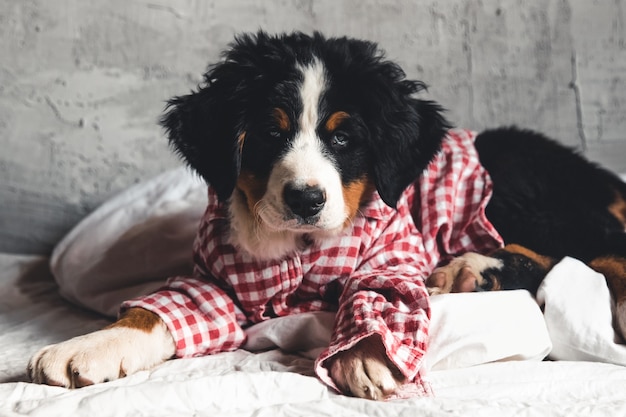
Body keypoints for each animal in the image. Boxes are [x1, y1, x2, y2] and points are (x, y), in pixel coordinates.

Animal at [25, 31, 624, 400]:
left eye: (342, 137)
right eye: (270, 133)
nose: (305, 199)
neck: (301, 249)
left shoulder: (392, 252)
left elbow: (377, 295)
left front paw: (365, 354)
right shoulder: (217, 277)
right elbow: (161, 311)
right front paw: (88, 347)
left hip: (512, 181)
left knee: (597, 243)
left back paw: (474, 268)